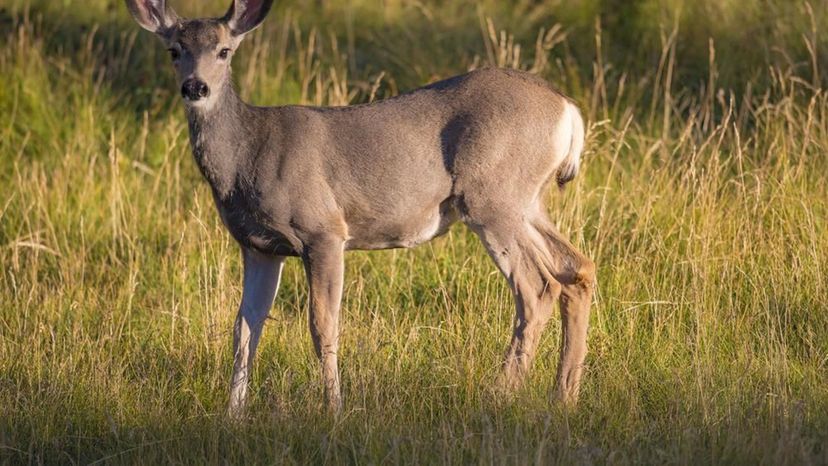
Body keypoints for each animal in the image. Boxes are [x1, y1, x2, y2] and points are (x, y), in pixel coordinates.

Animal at [124, 0, 596, 416]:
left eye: (225, 51)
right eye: (174, 50)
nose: (195, 87)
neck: (248, 154)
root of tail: (569, 110)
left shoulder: (323, 230)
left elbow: (322, 325)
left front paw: (333, 409)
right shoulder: (259, 246)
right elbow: (244, 328)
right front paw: (233, 415)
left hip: (493, 197)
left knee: (538, 287)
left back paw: (498, 395)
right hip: (527, 201)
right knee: (577, 270)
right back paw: (564, 397)